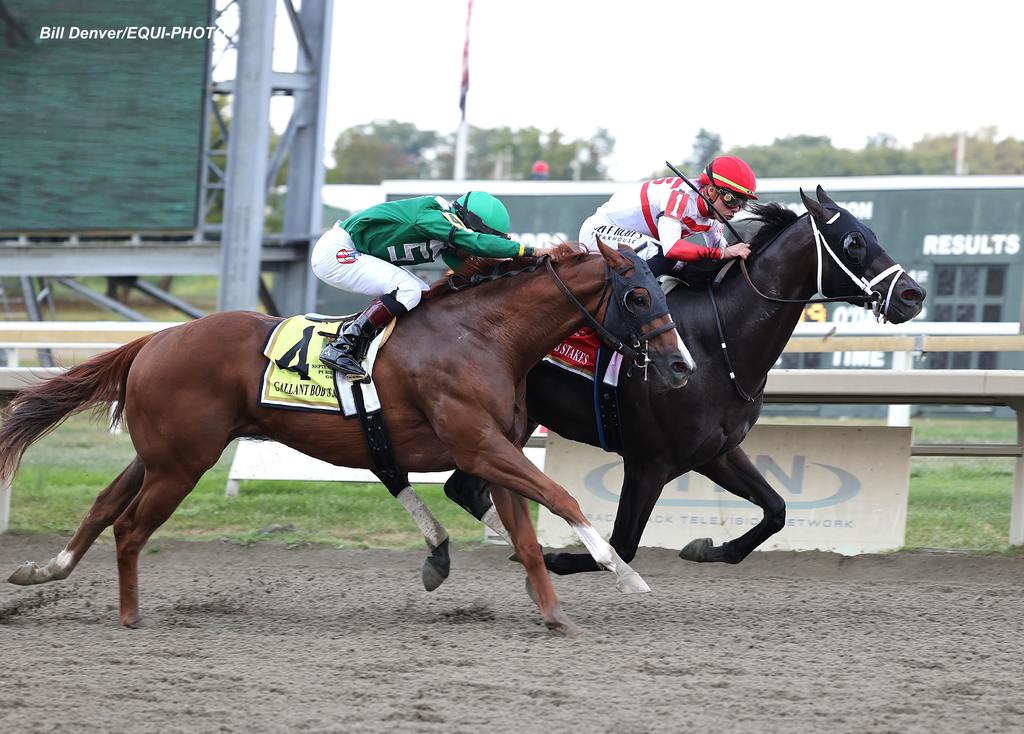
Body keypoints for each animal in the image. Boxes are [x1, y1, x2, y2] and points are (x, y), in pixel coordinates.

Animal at [4, 243, 692, 634]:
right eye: (637, 294)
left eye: (661, 290)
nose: (682, 365)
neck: (482, 335)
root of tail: (154, 339)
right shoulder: (478, 445)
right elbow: (563, 498)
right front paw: (624, 575)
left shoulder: (495, 450)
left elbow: (526, 537)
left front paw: (553, 614)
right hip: (180, 464)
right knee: (129, 528)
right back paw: (129, 616)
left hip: (162, 455)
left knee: (103, 507)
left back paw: (43, 570)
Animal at [448, 187, 929, 573]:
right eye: (853, 242)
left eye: (872, 233)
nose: (913, 295)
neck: (716, 342)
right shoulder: (648, 462)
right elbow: (622, 546)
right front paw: (556, 558)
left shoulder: (716, 451)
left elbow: (776, 509)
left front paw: (707, 548)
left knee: (465, 489)